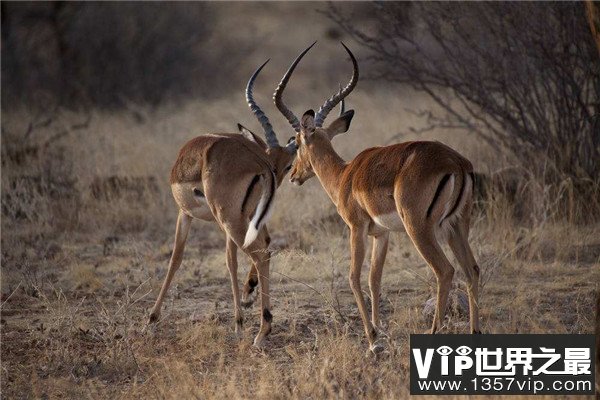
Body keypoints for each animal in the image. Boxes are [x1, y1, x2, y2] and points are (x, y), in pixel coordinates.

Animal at [148, 55, 302, 346]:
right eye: (280, 161)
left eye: (289, 165)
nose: (278, 175)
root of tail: (256, 163)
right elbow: (232, 259)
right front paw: (241, 315)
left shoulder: (185, 213)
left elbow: (177, 257)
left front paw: (151, 319)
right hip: (242, 218)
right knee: (263, 247)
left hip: (228, 218)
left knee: (261, 253)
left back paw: (262, 330)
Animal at [278, 42, 480, 352]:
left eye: (297, 143)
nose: (294, 175)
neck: (345, 175)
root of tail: (456, 163)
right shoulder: (381, 234)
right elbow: (375, 279)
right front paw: (378, 329)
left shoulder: (357, 228)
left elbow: (353, 277)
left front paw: (372, 339)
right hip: (457, 225)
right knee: (472, 270)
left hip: (420, 228)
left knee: (445, 271)